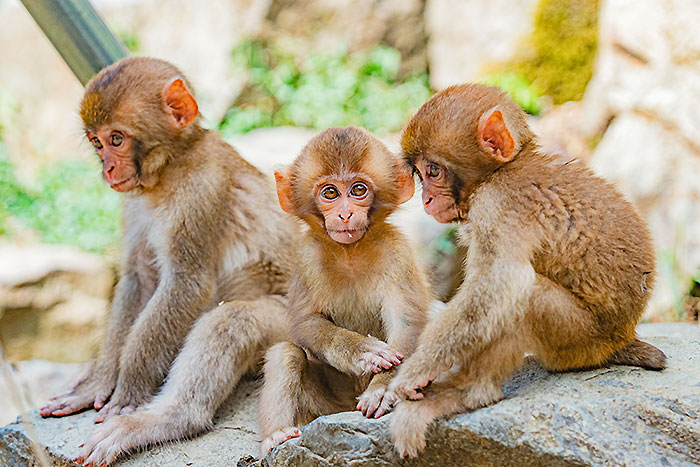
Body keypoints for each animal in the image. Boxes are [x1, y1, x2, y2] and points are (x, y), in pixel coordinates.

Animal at [39, 56, 296, 466]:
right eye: (97, 142)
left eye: (117, 139)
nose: (107, 169)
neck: (170, 168)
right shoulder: (132, 203)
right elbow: (137, 279)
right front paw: (99, 381)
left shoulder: (201, 189)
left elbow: (188, 283)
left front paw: (129, 392)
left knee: (231, 320)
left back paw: (164, 420)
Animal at [258, 127, 432, 458]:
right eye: (330, 194)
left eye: (358, 190)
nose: (346, 214)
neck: (350, 252)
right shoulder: (307, 257)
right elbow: (306, 324)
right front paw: (362, 351)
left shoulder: (398, 252)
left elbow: (408, 325)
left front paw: (384, 388)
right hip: (325, 408)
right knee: (287, 354)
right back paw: (276, 435)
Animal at [388, 83, 668, 458]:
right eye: (420, 174)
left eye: (434, 171)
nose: (426, 201)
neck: (501, 172)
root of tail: (623, 337)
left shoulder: (499, 204)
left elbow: (501, 280)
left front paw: (416, 369)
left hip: (581, 343)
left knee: (524, 295)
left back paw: (465, 394)